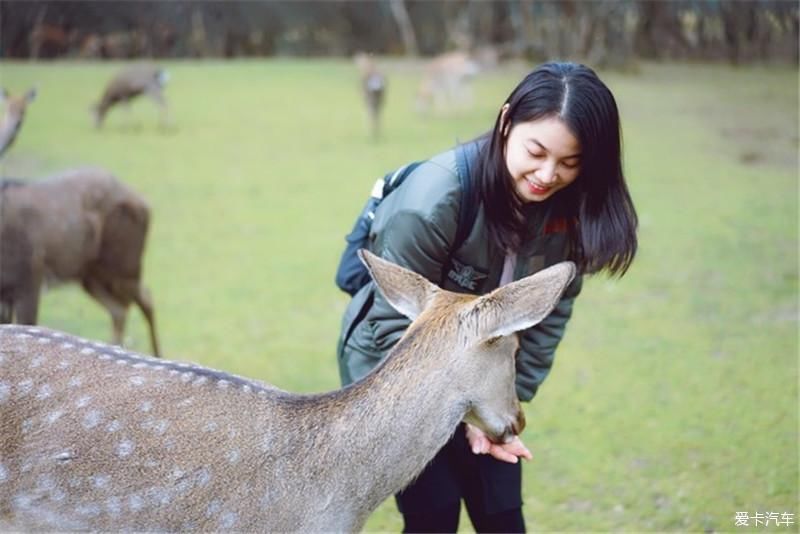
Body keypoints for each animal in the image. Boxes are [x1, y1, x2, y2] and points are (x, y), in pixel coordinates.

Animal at [0, 170, 161, 358]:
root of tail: (145, 204)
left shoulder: (31, 278)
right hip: (91, 276)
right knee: (119, 310)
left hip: (124, 264)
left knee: (145, 299)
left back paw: (156, 354)